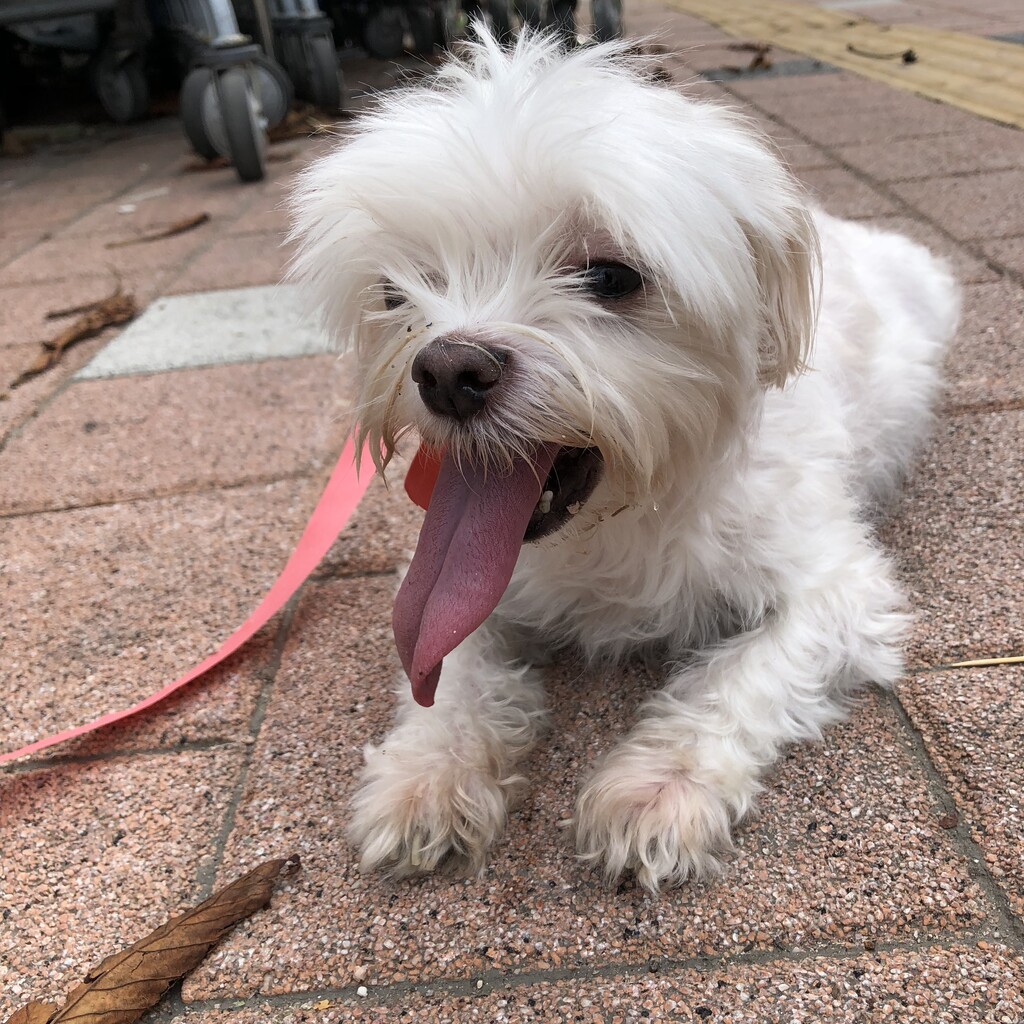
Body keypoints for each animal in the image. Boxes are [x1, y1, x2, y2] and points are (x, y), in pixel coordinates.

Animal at [290, 30, 959, 892]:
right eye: (395, 292)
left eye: (611, 276)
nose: (447, 370)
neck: (620, 520)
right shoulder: (448, 591)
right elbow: (451, 669)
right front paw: (428, 771)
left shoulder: (835, 589)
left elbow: (740, 678)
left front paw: (661, 787)